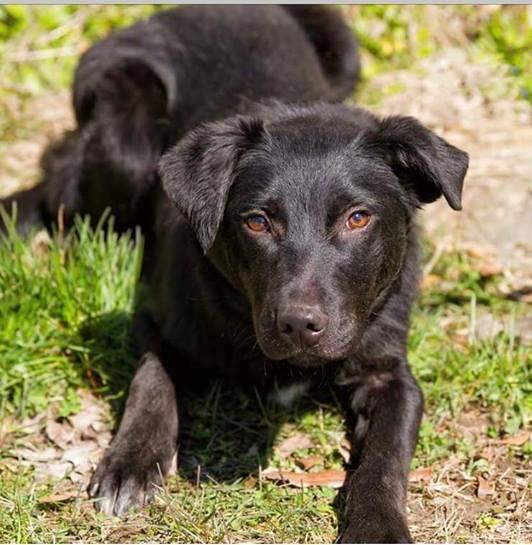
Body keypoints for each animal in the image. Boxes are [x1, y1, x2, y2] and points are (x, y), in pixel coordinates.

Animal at [3, 5, 470, 544]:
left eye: (357, 218)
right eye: (257, 221)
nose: (299, 326)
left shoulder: (390, 374)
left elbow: (385, 458)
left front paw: (378, 525)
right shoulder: (157, 321)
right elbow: (151, 381)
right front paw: (132, 461)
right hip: (121, 142)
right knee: (54, 188)